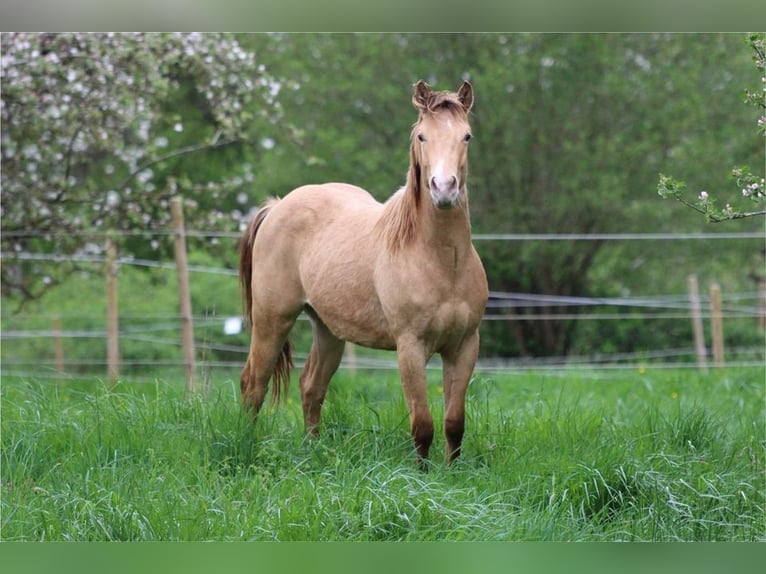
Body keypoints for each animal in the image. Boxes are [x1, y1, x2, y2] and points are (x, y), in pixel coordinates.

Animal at [240, 81, 488, 468]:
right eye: (422, 136)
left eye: (467, 136)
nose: (443, 188)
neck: (441, 263)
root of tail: (277, 206)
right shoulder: (410, 347)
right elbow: (422, 425)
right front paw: (422, 476)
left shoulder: (464, 346)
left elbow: (454, 423)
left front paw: (452, 473)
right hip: (272, 320)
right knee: (254, 384)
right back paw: (248, 445)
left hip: (328, 330)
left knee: (311, 387)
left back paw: (314, 452)